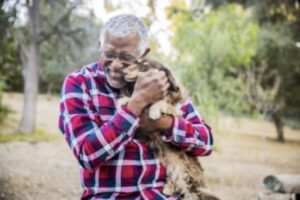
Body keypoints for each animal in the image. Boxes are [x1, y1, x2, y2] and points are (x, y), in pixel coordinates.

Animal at [116, 49, 218, 199]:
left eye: (144, 66)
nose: (123, 72)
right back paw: (168, 189)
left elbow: (162, 103)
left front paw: (154, 111)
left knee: (182, 182)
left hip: (181, 165)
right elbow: (132, 99)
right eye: (135, 62)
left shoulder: (175, 111)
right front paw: (123, 100)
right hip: (170, 163)